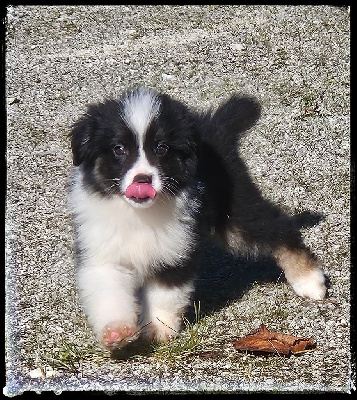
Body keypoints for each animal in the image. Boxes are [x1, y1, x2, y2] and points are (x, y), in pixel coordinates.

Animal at [69, 86, 326, 346]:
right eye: (118, 149)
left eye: (161, 148)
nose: (142, 180)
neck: (140, 215)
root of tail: (213, 129)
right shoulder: (102, 250)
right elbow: (108, 290)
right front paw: (116, 330)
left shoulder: (175, 248)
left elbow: (164, 293)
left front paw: (158, 328)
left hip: (234, 215)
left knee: (279, 228)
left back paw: (310, 280)